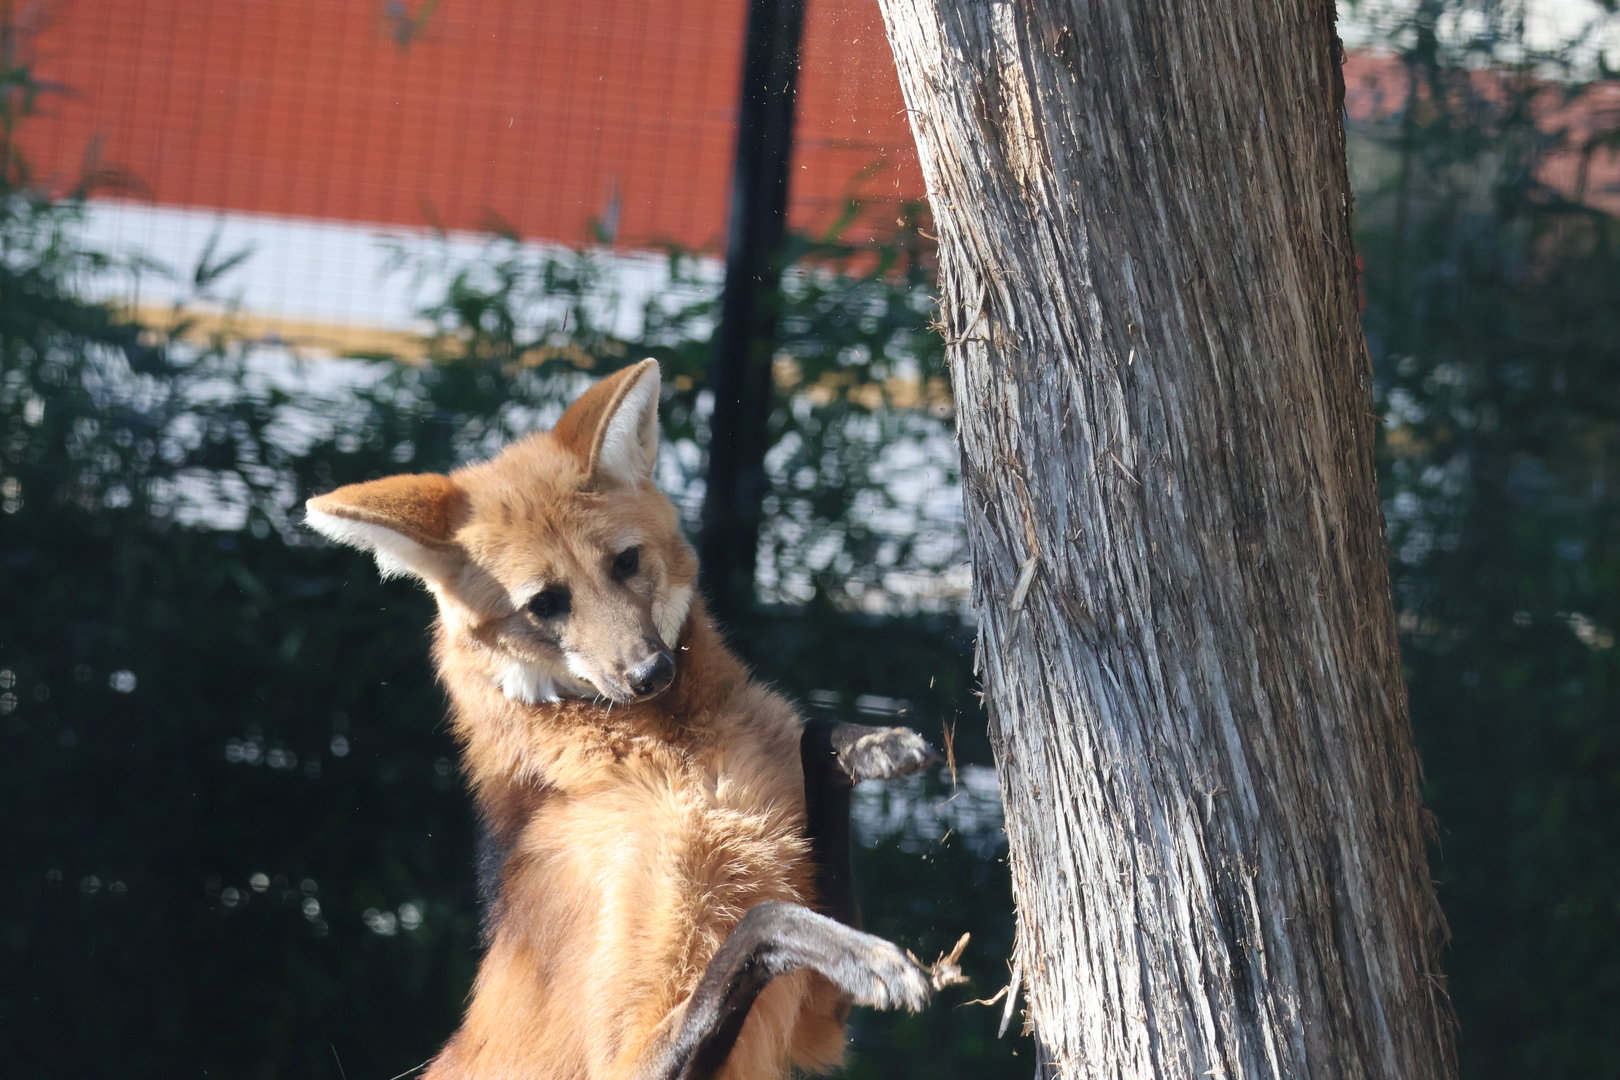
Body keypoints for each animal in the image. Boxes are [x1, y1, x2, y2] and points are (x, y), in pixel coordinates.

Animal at [305, 359, 948, 1080]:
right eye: (546, 604)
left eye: (625, 562)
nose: (650, 674)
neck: (681, 762)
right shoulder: (629, 1059)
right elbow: (763, 919)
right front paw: (871, 958)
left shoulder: (816, 1022)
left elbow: (811, 739)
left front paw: (876, 744)